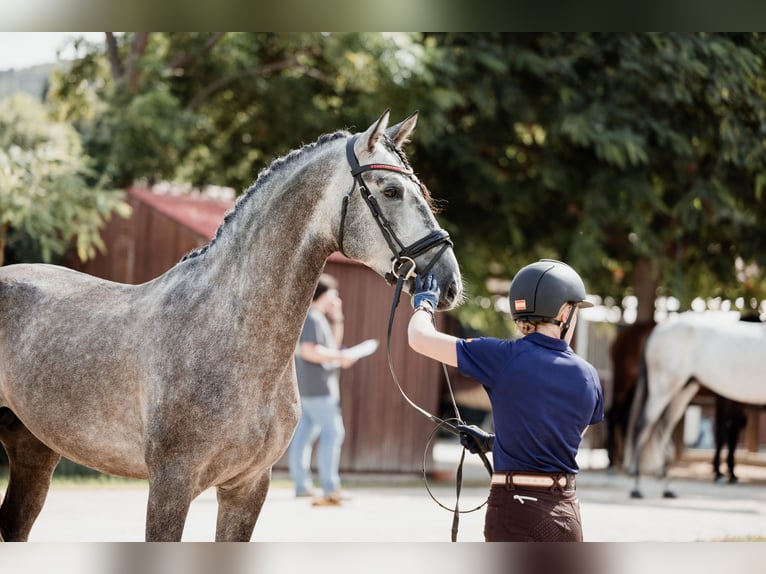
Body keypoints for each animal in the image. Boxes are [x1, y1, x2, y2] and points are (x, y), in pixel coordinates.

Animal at [0, 110, 464, 544]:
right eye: (391, 191)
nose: (448, 284)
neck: (229, 332)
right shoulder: (171, 484)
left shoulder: (248, 487)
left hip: (34, 450)